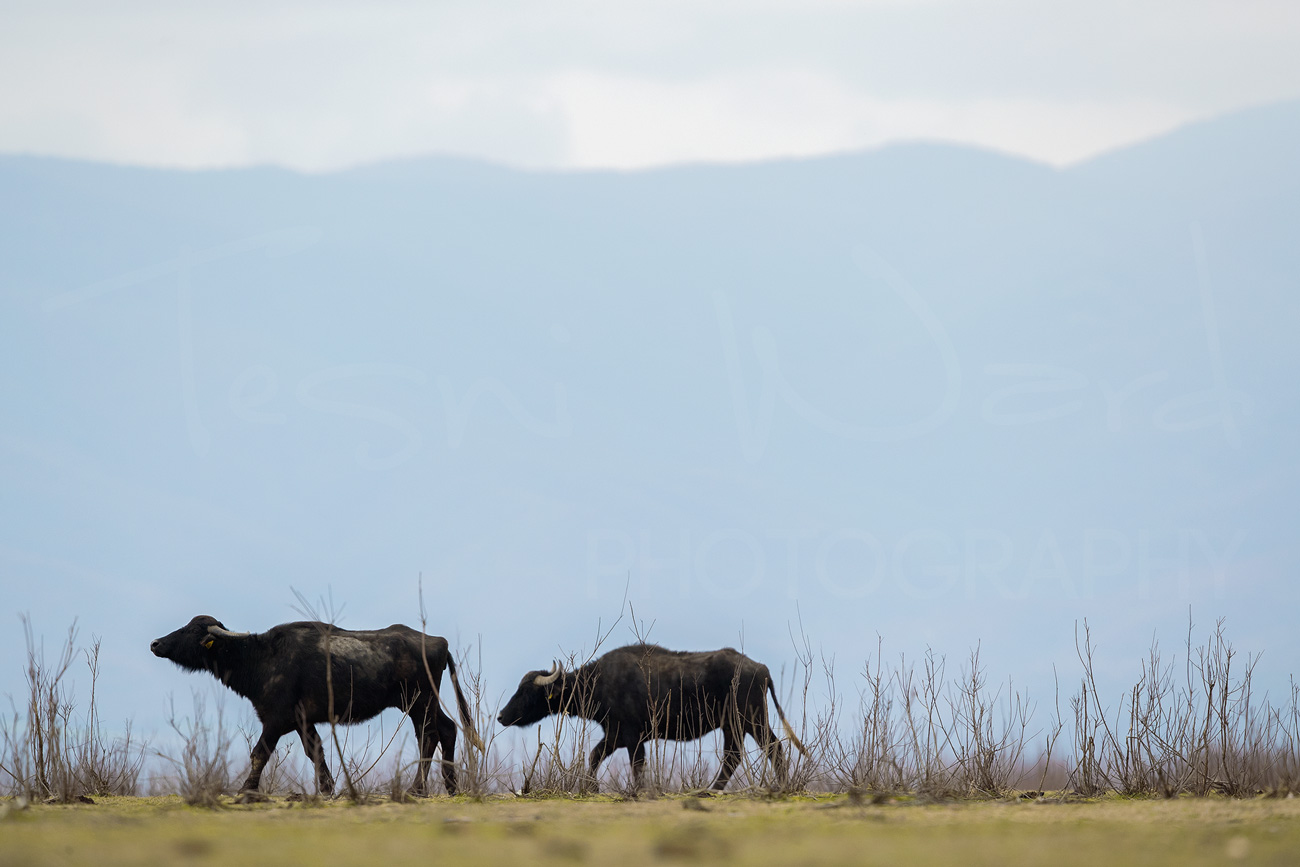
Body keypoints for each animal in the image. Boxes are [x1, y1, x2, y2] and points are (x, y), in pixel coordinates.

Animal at [151, 615, 483, 797]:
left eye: (194, 631)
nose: (155, 643)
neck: (261, 657)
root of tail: (438, 642)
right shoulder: (303, 722)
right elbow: (316, 752)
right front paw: (326, 787)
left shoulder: (275, 721)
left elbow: (259, 753)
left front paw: (246, 789)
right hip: (421, 704)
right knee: (445, 731)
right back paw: (450, 786)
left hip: (420, 702)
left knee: (432, 734)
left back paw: (420, 789)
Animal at [497, 643, 807, 790]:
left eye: (526, 692)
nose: (501, 716)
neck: (598, 682)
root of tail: (761, 669)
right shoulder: (615, 735)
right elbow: (594, 756)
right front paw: (591, 787)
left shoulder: (631, 737)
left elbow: (636, 765)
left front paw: (636, 790)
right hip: (734, 726)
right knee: (735, 755)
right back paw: (711, 790)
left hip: (750, 720)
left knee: (773, 748)